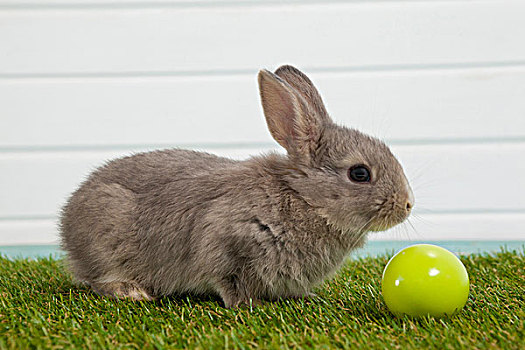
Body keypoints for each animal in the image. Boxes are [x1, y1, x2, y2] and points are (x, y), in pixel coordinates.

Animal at [60, 65, 414, 306]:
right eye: (359, 173)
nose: (407, 205)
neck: (303, 199)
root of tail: (67, 221)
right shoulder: (227, 244)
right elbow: (229, 281)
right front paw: (248, 305)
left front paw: (305, 298)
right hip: (106, 241)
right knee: (97, 279)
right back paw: (131, 291)